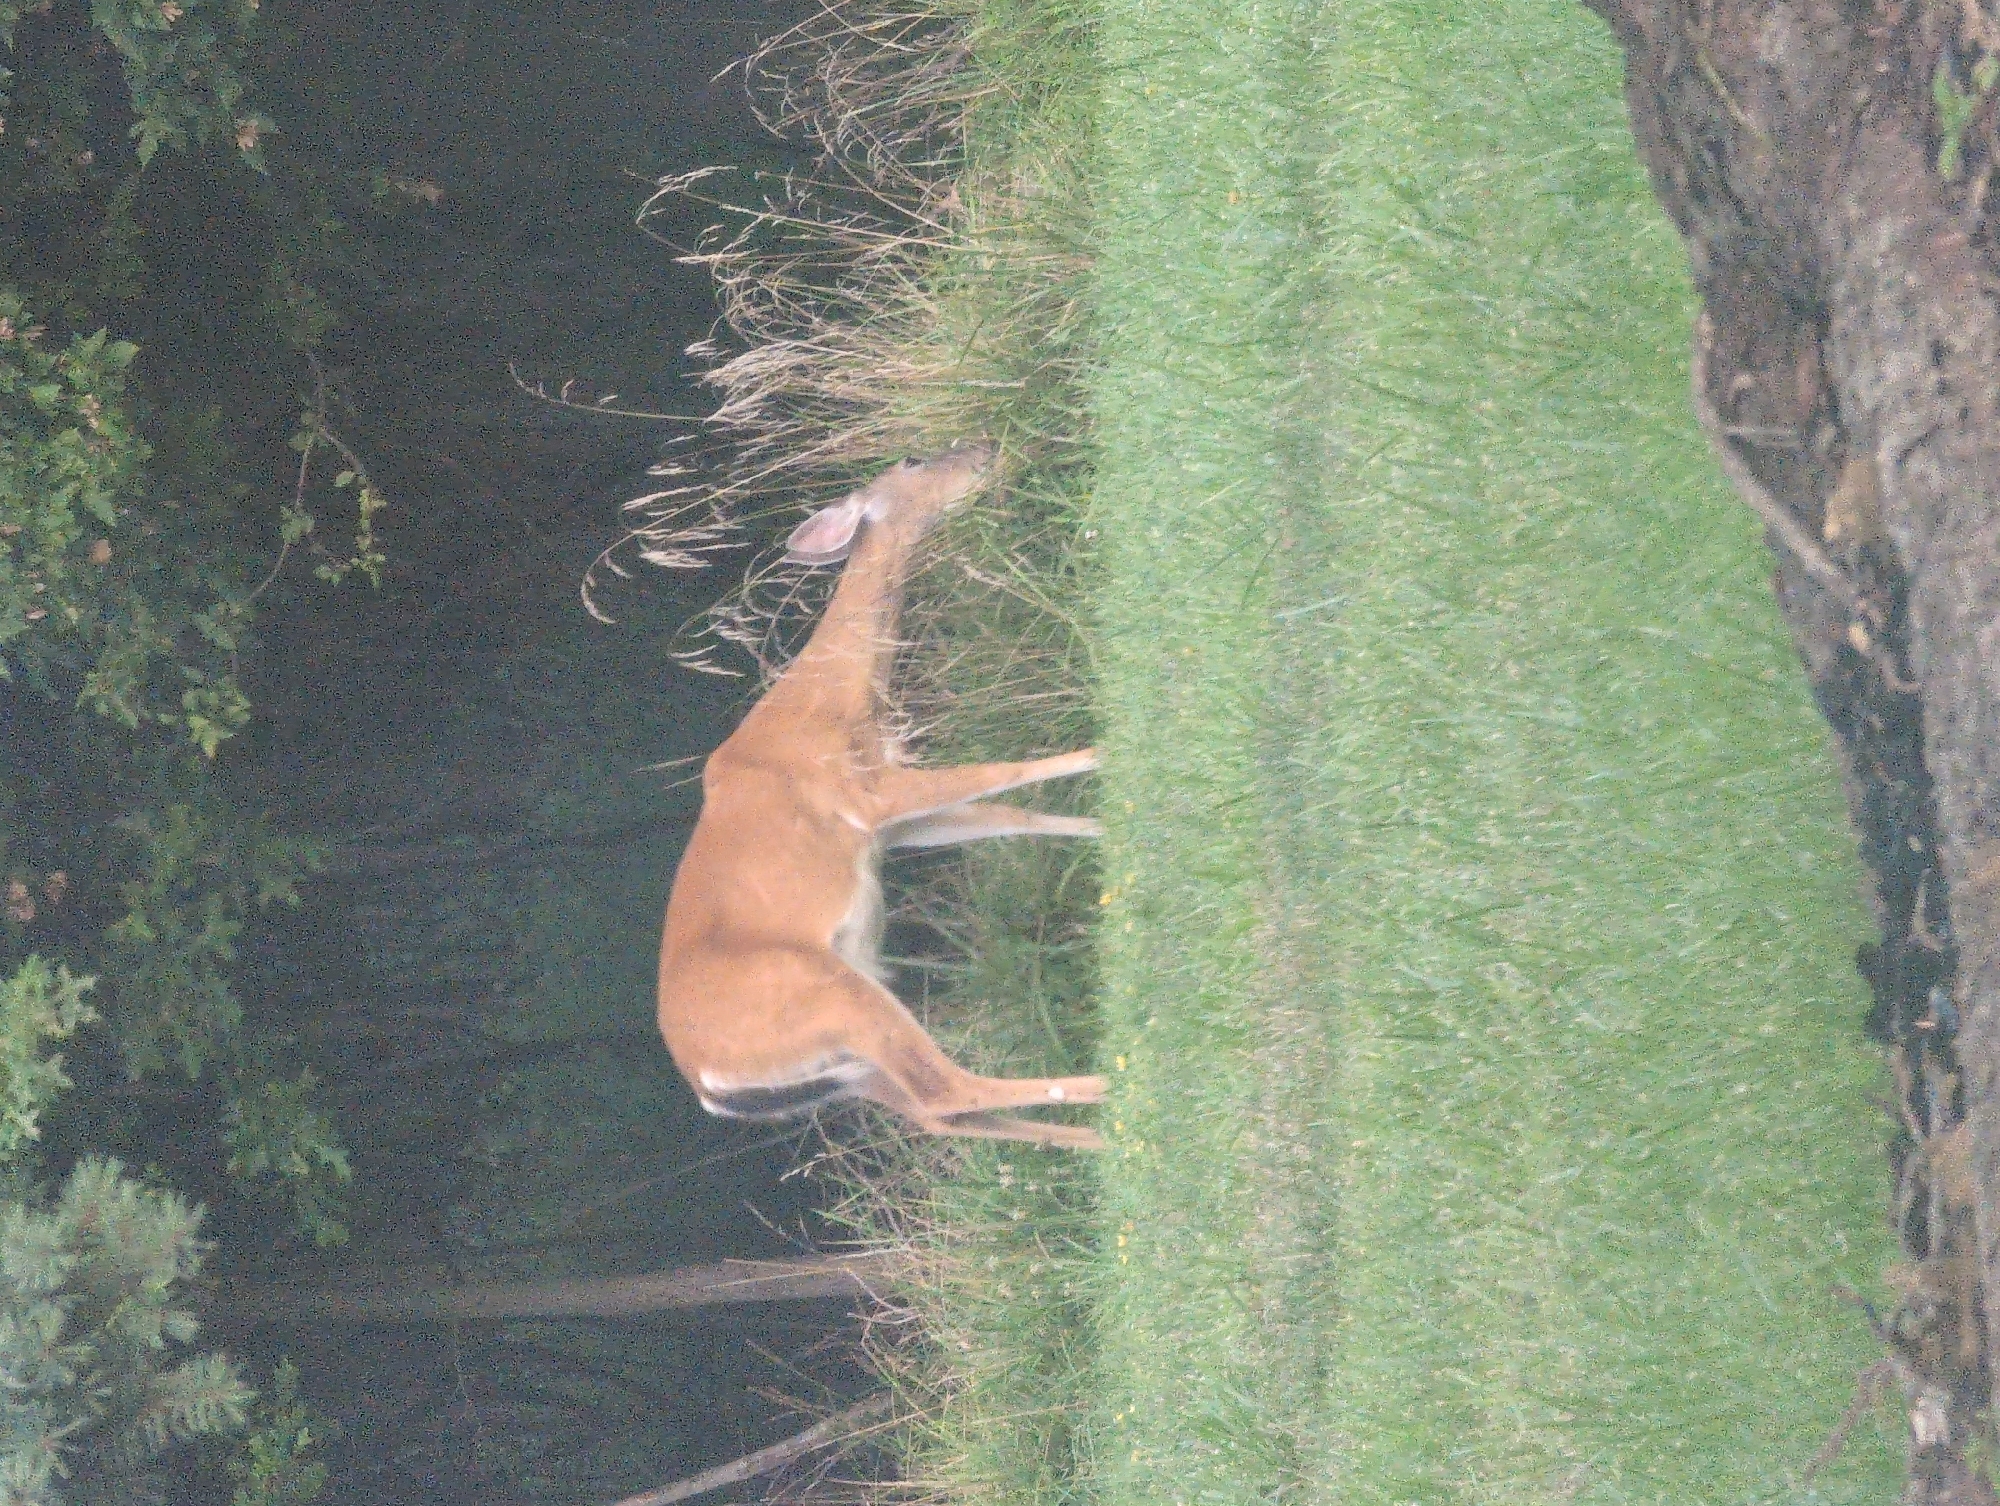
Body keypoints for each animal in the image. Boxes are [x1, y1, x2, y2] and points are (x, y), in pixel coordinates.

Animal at [657, 444, 1107, 1149]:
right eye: (915, 462)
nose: (985, 451)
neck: (831, 704)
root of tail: (710, 1087)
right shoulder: (864, 791)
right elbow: (1002, 771)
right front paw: (1106, 749)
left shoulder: (889, 824)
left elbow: (1008, 812)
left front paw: (1104, 830)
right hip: (831, 996)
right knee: (951, 1091)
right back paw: (1116, 1090)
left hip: (847, 1072)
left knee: (940, 1110)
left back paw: (1104, 1143)